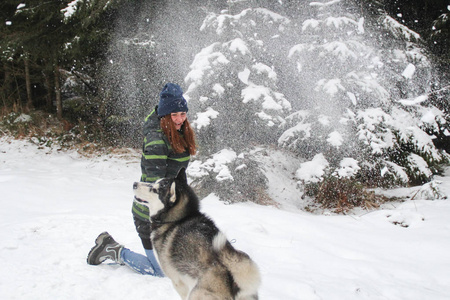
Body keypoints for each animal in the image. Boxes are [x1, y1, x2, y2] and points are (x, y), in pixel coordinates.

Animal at [133, 170, 260, 298]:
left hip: (196, 293)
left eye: (155, 190)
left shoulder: (178, 282)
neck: (177, 218)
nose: (134, 184)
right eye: (154, 182)